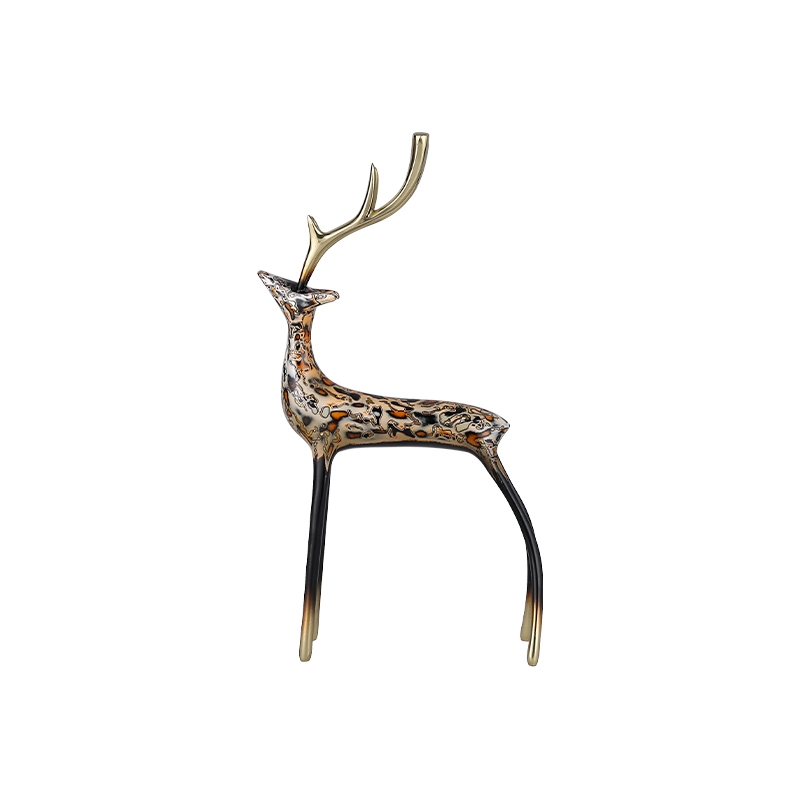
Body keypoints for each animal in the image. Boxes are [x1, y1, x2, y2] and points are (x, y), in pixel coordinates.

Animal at [259, 133, 543, 666]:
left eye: (293, 291)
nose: (263, 273)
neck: (308, 384)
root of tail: (504, 423)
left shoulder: (323, 448)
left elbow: (314, 551)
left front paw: (305, 647)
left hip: (487, 454)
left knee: (533, 535)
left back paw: (532, 646)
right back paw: (523, 635)